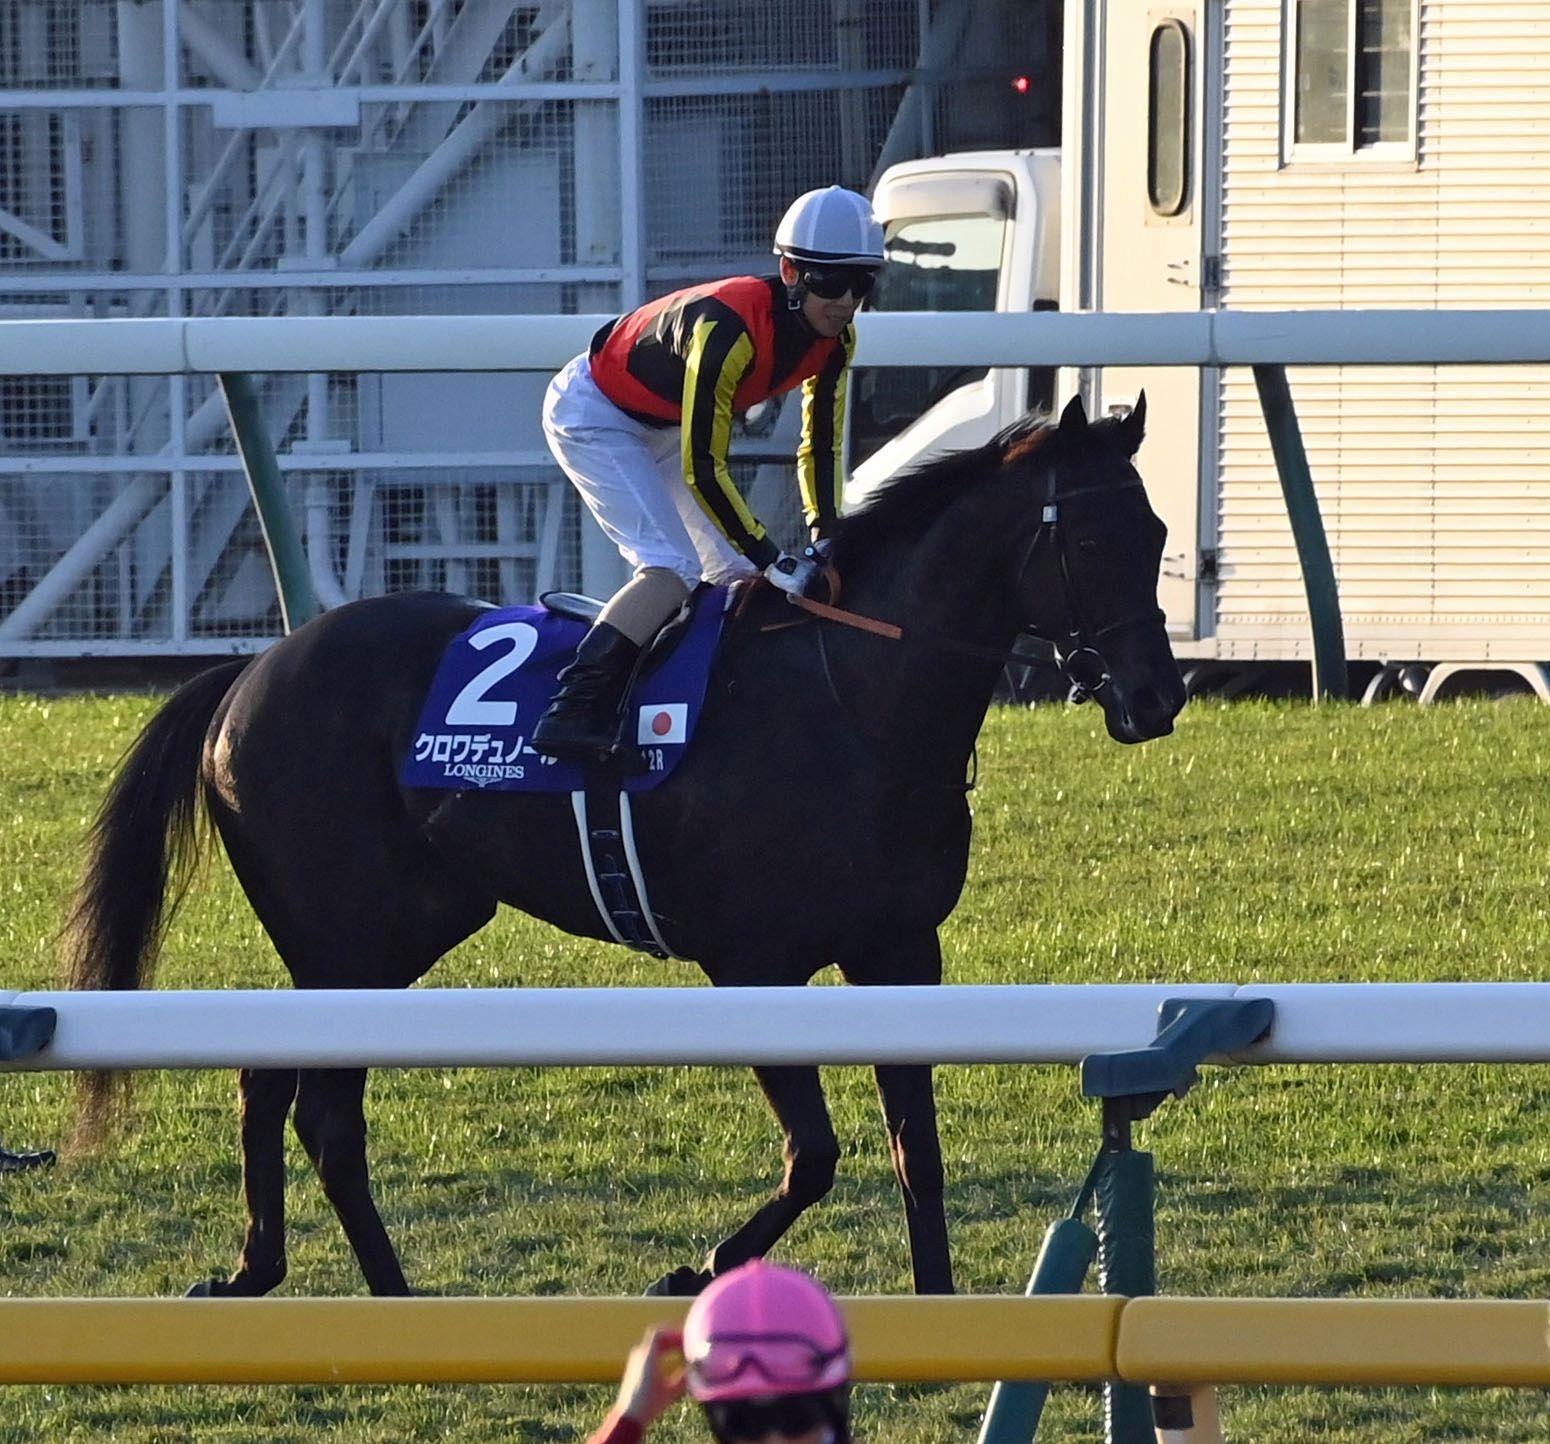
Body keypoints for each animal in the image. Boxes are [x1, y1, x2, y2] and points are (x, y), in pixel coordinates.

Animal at [63, 392, 1185, 1299]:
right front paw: (698, 1268)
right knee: (325, 1120)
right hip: (349, 936)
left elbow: (918, 1150)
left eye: (1158, 530)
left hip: (396, 929)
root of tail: (249, 671)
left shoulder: (900, 952)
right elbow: (815, 1152)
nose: (1156, 696)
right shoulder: (753, 965)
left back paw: (259, 1270)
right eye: (1093, 544)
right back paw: (390, 1298)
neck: (851, 703)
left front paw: (939, 1303)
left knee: (267, 1075)